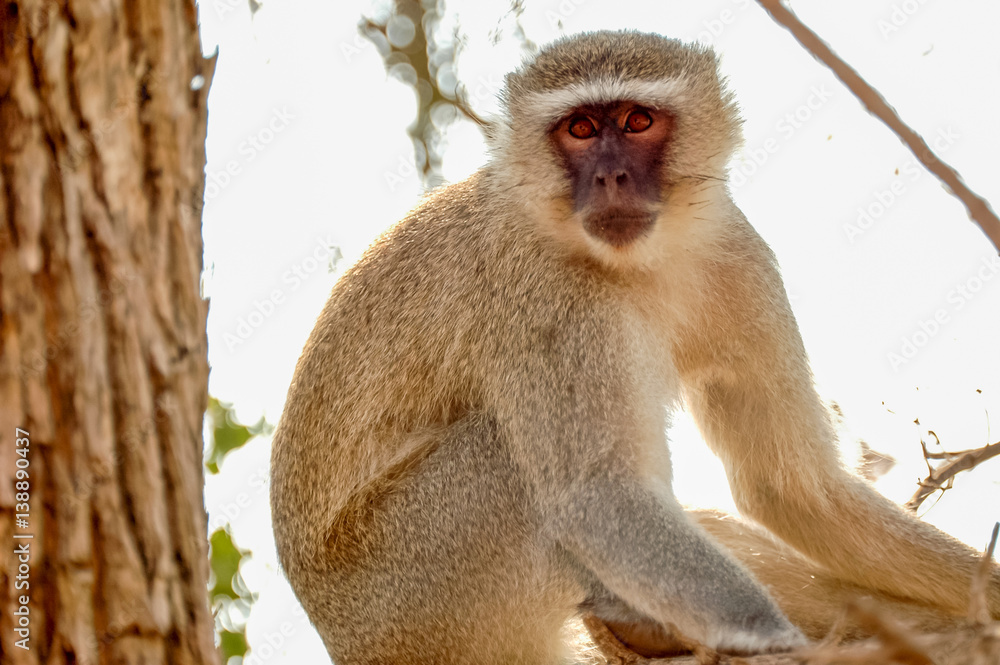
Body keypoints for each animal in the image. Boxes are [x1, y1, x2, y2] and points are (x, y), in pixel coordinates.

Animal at [270, 30, 999, 665]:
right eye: (581, 130)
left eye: (637, 120)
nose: (612, 178)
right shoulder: (553, 300)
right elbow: (600, 498)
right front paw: (773, 639)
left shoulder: (738, 253)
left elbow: (794, 488)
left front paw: (984, 598)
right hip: (416, 596)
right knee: (512, 463)